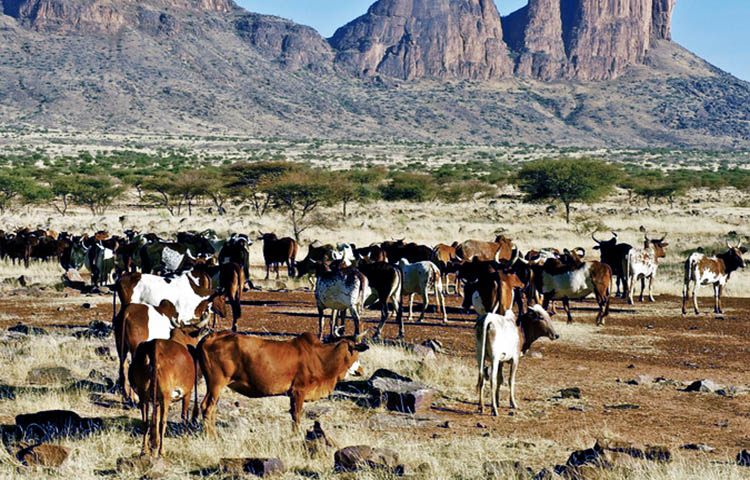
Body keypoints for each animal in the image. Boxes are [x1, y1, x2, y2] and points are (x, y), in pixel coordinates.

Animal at [195, 330, 368, 432]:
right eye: (354, 351)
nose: (360, 371)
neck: (320, 357)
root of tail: (209, 337)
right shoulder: (298, 391)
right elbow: (296, 416)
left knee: (211, 408)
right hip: (216, 384)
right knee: (207, 407)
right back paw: (212, 437)